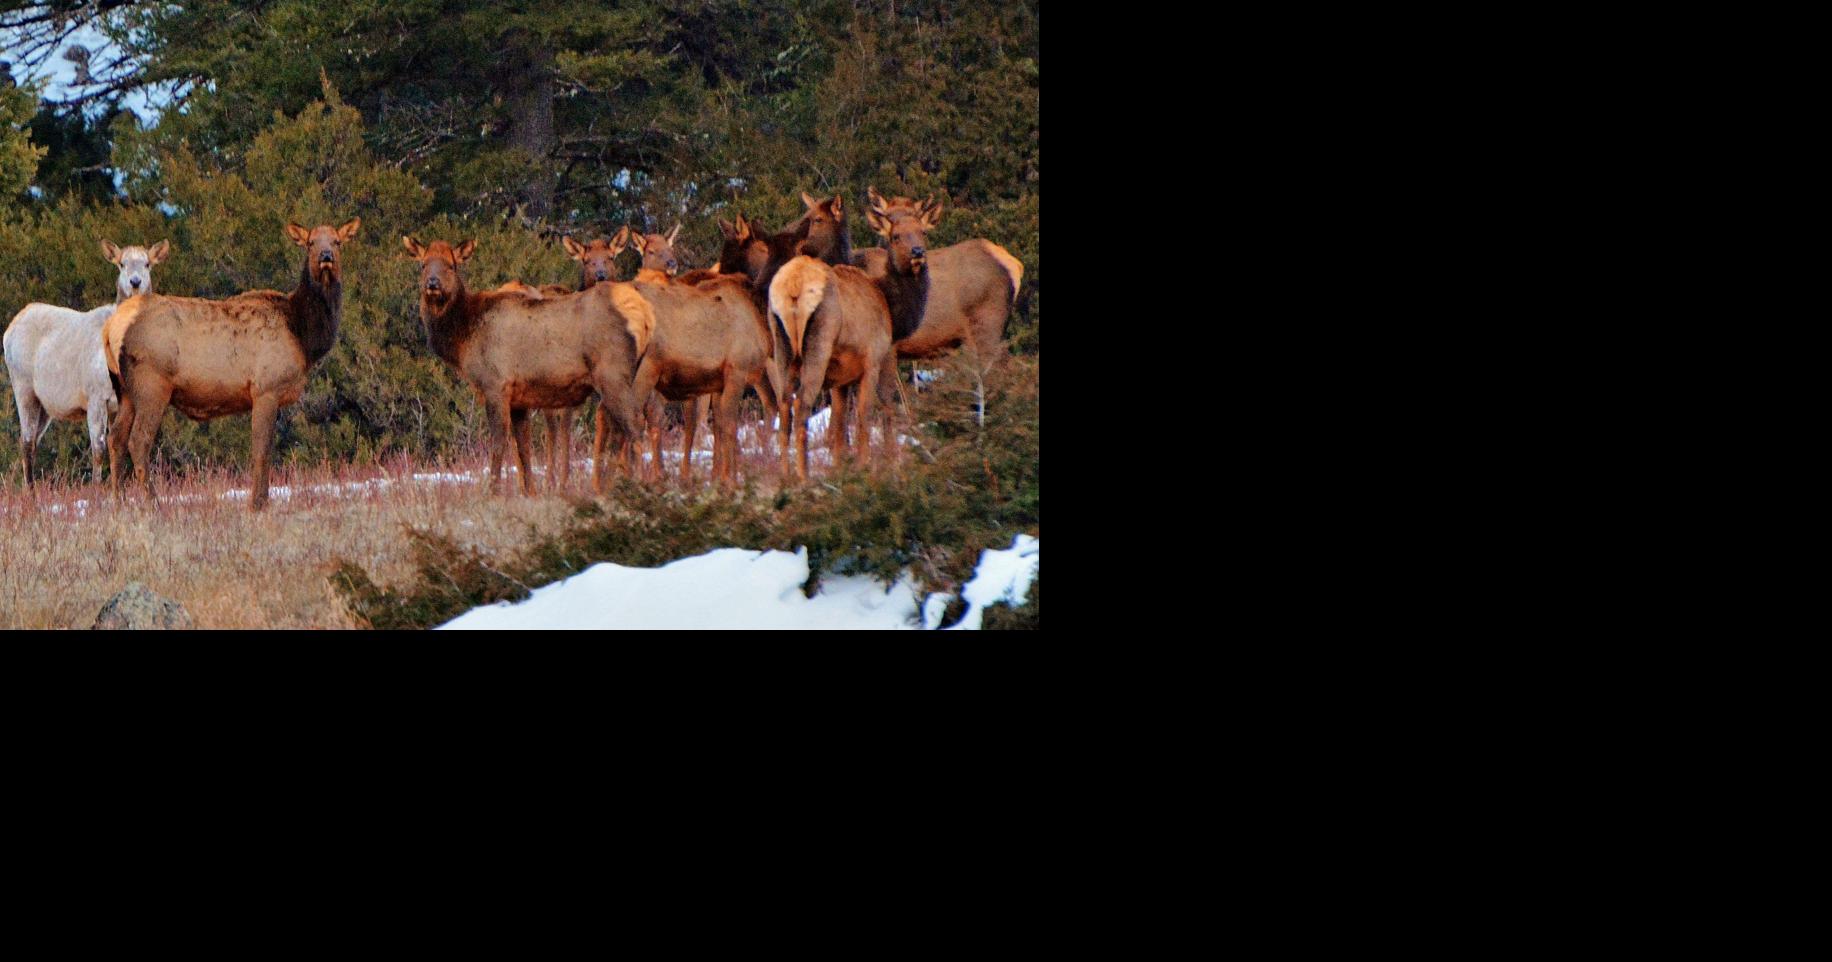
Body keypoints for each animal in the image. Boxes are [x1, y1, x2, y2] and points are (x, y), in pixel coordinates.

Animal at [5, 239, 168, 486]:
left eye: (147, 264)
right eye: (121, 264)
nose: (135, 282)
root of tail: (9, 330)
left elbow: (119, 444)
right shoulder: (95, 395)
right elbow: (99, 449)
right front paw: (97, 489)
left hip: (45, 405)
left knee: (33, 440)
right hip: (23, 387)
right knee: (26, 441)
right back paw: (30, 492)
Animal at [104, 221, 358, 510]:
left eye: (337, 241)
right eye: (311, 242)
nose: (326, 256)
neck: (303, 335)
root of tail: (111, 327)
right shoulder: (266, 389)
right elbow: (261, 451)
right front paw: (257, 504)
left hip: (124, 390)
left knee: (115, 437)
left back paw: (119, 503)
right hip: (152, 384)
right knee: (138, 441)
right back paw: (154, 503)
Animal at [404, 235, 655, 496]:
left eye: (451, 265)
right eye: (423, 264)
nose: (432, 283)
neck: (465, 339)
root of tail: (644, 316)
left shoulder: (496, 385)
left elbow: (499, 442)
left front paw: (493, 491)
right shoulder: (519, 398)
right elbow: (523, 447)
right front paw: (530, 492)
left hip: (613, 375)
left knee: (635, 425)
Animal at [764, 190, 934, 479]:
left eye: (922, 232)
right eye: (895, 236)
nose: (918, 253)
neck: (890, 302)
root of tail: (793, 286)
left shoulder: (840, 379)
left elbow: (840, 423)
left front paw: (842, 465)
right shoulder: (875, 357)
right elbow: (870, 412)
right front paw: (870, 464)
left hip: (782, 348)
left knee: (784, 405)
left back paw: (785, 473)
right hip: (818, 345)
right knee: (802, 405)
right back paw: (804, 475)